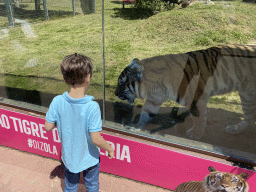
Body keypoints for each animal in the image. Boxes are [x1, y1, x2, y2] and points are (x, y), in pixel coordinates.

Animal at [114, 44, 256, 140]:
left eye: (121, 83)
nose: (115, 93)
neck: (153, 85)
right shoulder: (153, 99)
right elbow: (146, 113)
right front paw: (135, 127)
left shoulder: (196, 100)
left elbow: (199, 119)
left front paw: (196, 134)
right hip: (247, 96)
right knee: (249, 117)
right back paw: (235, 129)